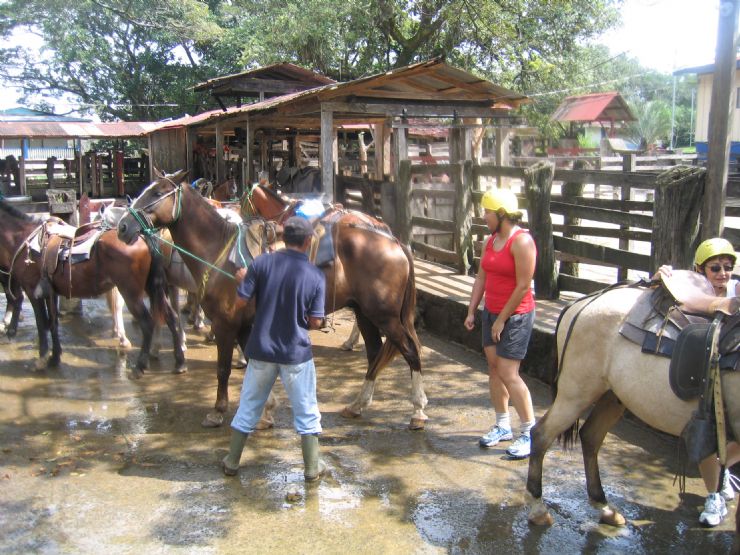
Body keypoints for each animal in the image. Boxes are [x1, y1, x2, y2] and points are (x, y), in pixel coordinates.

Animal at [0, 200, 184, 374]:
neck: (24, 239)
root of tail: (143, 236)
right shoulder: (50, 293)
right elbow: (52, 323)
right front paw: (55, 357)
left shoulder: (32, 291)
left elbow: (41, 323)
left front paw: (41, 359)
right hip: (152, 288)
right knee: (171, 317)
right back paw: (179, 362)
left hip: (131, 293)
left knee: (147, 323)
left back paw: (140, 366)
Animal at [240, 182, 430, 430]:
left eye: (244, 202)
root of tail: (395, 242)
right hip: (366, 312)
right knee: (375, 353)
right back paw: (358, 403)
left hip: (384, 316)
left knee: (409, 349)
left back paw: (417, 409)